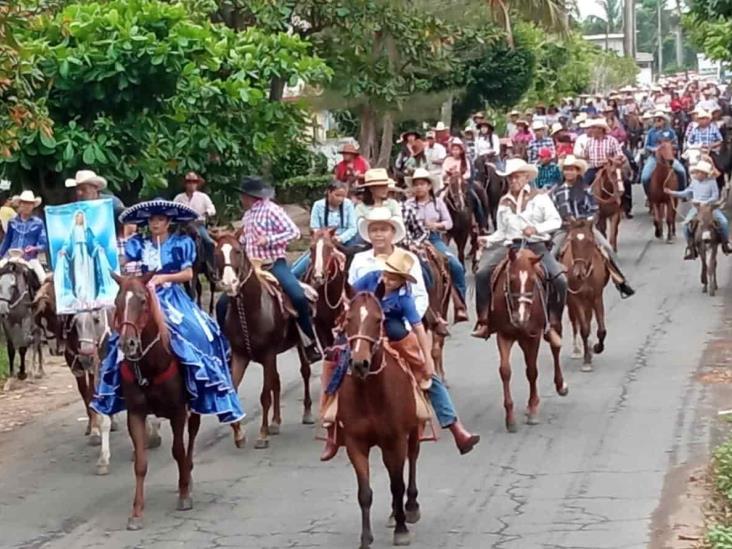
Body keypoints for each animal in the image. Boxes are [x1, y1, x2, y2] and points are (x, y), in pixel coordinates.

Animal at [110, 274, 200, 532]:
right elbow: (140, 463)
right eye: (117, 301)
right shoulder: (136, 414)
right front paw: (136, 512)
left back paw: (188, 477)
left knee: (191, 437)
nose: (127, 343)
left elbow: (178, 451)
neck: (150, 365)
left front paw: (183, 494)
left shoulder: (178, 410)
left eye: (142, 301)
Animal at [213, 233, 314, 448]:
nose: (229, 283)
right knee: (276, 381)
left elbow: (265, 395)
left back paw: (307, 413)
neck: (250, 310)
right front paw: (239, 434)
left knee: (305, 373)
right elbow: (235, 390)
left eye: (238, 251)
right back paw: (276, 422)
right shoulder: (240, 356)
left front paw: (262, 434)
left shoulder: (268, 355)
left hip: (300, 346)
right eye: (216, 253)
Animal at [336, 292, 418, 548]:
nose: (359, 363)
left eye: (378, 319)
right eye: (348, 318)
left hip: (414, 431)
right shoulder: (355, 443)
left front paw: (401, 530)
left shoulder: (397, 440)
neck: (369, 396)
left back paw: (410, 507)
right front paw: (365, 538)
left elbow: (397, 484)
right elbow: (364, 493)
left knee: (412, 460)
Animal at [492, 246, 568, 430]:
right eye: (511, 279)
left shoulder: (533, 336)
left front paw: (533, 409)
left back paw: (560, 385)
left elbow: (532, 371)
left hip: (553, 324)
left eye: (533, 281)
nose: (521, 317)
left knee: (555, 349)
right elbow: (505, 371)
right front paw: (510, 417)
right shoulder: (503, 335)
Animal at [560, 220, 612, 370]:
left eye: (589, 241)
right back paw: (577, 350)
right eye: (572, 240)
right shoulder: (576, 299)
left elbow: (601, 329)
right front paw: (587, 360)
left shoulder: (597, 297)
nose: (578, 272)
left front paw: (596, 348)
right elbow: (584, 328)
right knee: (575, 321)